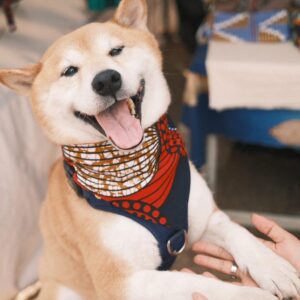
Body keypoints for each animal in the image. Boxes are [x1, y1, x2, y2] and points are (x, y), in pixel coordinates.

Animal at [0, 0, 298, 300]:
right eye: (70, 71)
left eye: (116, 50)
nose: (106, 80)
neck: (137, 178)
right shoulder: (122, 284)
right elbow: (195, 283)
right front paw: (250, 294)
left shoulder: (206, 220)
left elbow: (238, 233)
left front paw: (273, 266)